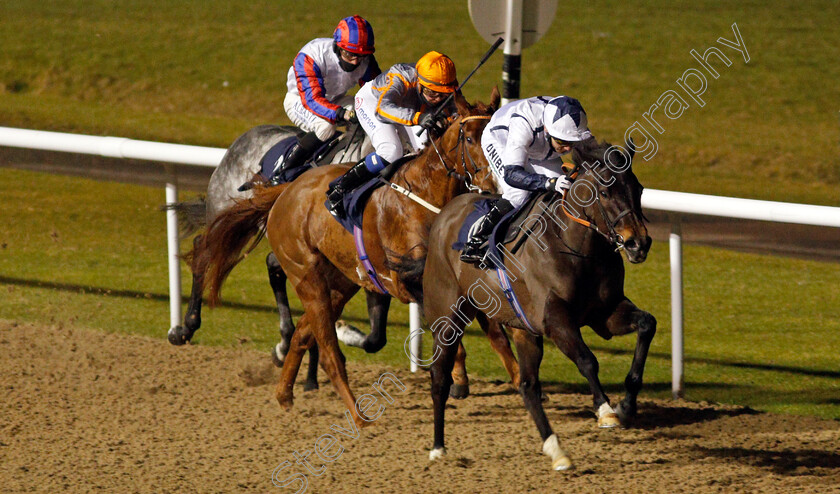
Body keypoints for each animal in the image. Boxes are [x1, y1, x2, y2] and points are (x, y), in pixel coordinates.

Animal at [201, 90, 520, 426]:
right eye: (470, 138)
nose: (496, 185)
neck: (425, 195)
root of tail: (285, 190)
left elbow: (493, 332)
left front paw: (516, 378)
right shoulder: (406, 278)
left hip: (340, 281)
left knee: (303, 333)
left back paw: (285, 393)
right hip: (306, 274)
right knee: (327, 348)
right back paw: (356, 412)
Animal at [426, 139, 656, 470]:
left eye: (638, 189)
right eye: (605, 192)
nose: (638, 243)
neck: (577, 247)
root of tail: (446, 213)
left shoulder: (605, 313)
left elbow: (646, 324)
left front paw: (626, 405)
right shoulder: (555, 319)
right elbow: (587, 360)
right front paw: (606, 411)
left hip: (524, 330)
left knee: (528, 386)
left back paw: (557, 451)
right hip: (447, 318)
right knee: (439, 378)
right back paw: (437, 448)